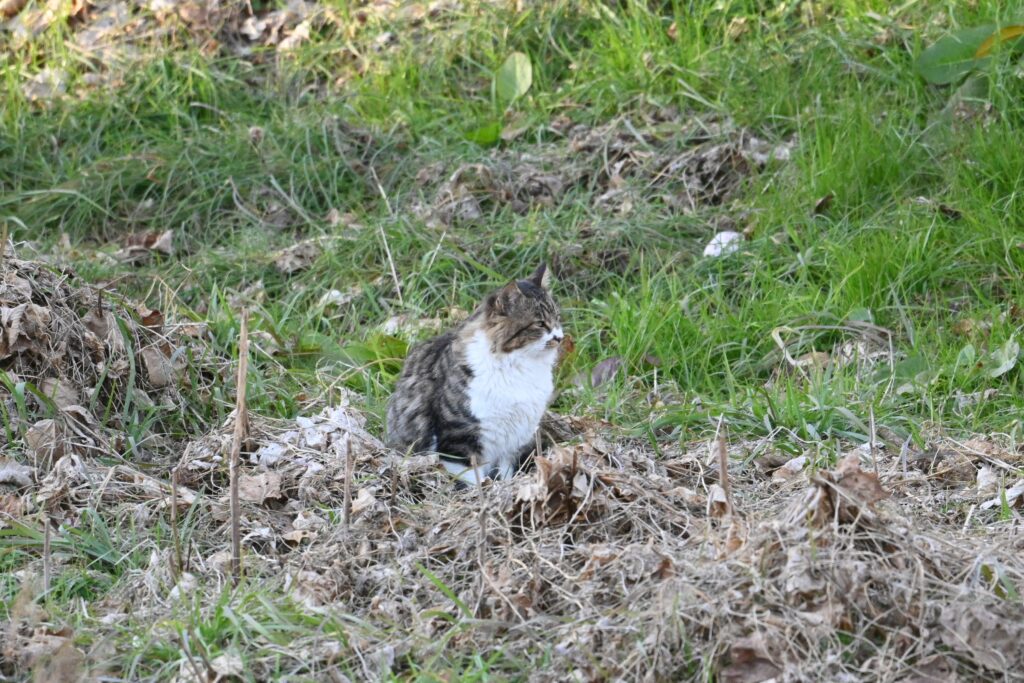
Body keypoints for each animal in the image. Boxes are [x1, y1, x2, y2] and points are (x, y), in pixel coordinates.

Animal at [385, 264, 565, 485]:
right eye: (540, 324)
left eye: (557, 318)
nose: (560, 337)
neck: (521, 367)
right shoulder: (460, 436)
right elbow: (471, 478)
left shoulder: (512, 441)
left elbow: (504, 474)